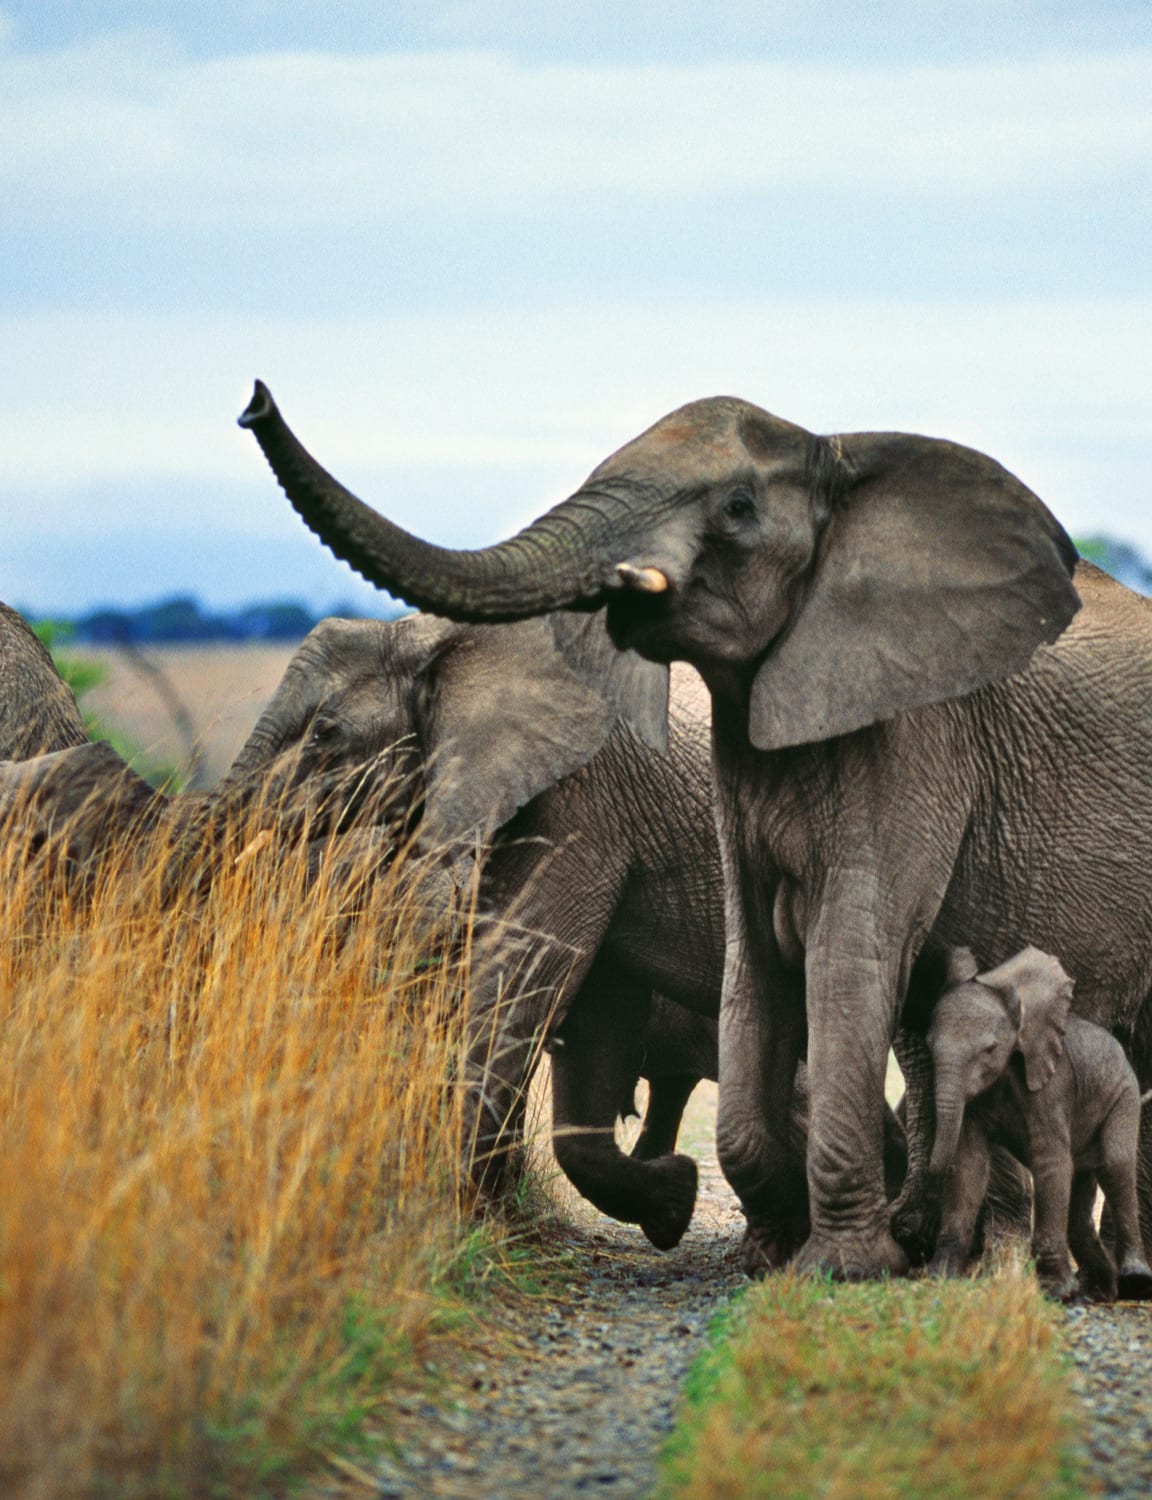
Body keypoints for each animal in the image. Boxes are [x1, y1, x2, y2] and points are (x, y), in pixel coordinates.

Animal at [924, 948, 1152, 1302]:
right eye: (928, 1045)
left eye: (990, 1049)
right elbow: (968, 1164)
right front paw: (941, 1276)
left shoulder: (1052, 1088)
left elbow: (1051, 1163)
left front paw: (1057, 1292)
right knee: (1079, 1201)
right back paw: (1097, 1291)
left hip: (1123, 1095)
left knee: (1114, 1165)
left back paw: (1133, 1282)